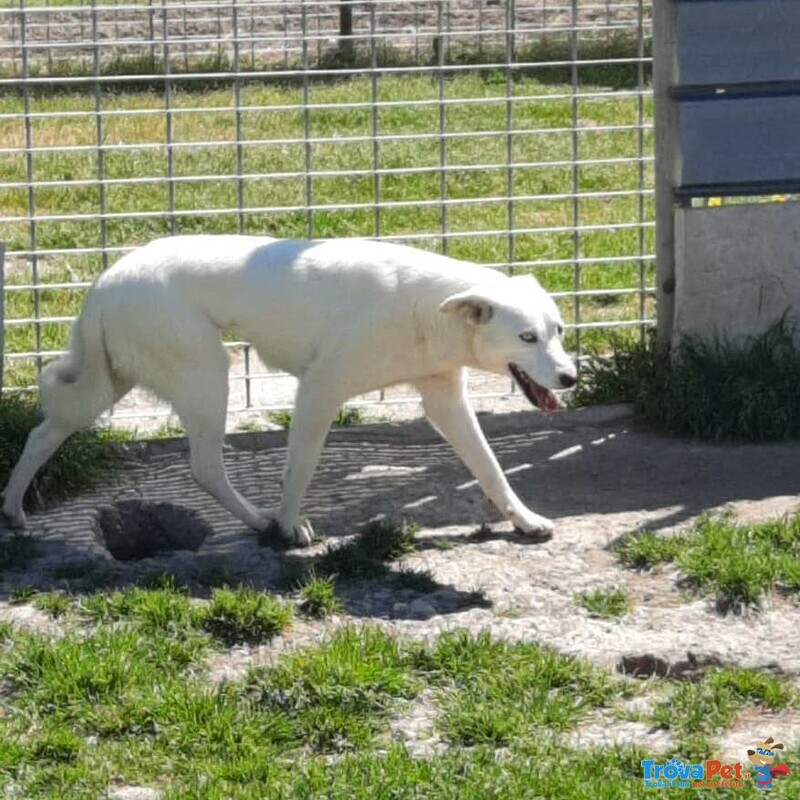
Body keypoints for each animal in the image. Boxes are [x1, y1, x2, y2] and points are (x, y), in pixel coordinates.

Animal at [1, 236, 576, 544]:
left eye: (559, 331)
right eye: (527, 337)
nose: (571, 378)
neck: (428, 310)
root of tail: (107, 277)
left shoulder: (444, 399)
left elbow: (490, 468)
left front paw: (525, 521)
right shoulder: (319, 390)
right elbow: (300, 468)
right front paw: (288, 525)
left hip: (109, 385)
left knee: (40, 435)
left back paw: (12, 510)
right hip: (208, 375)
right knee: (204, 466)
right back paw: (259, 521)